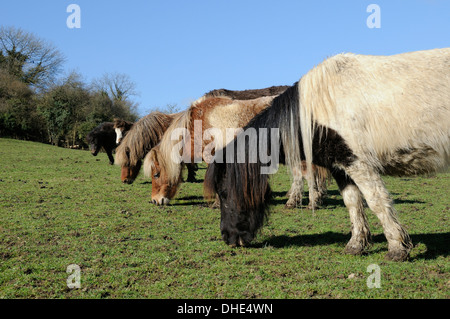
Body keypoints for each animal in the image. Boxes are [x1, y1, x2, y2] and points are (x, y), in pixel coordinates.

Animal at [205, 48, 450, 262]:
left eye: (224, 193)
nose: (227, 238)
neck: (317, 108)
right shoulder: (341, 167)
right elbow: (353, 203)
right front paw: (356, 245)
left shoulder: (358, 163)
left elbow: (376, 202)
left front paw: (398, 248)